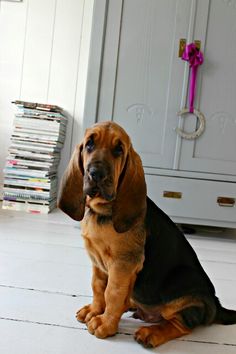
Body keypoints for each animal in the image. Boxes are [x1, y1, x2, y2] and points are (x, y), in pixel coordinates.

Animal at [57, 121, 236, 348]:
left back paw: (151, 333)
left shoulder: (123, 264)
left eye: (119, 150)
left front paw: (105, 324)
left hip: (180, 281)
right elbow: (98, 287)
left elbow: (112, 293)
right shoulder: (97, 262)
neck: (102, 211)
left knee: (182, 324)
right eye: (89, 144)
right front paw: (95, 310)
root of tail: (215, 305)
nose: (96, 173)